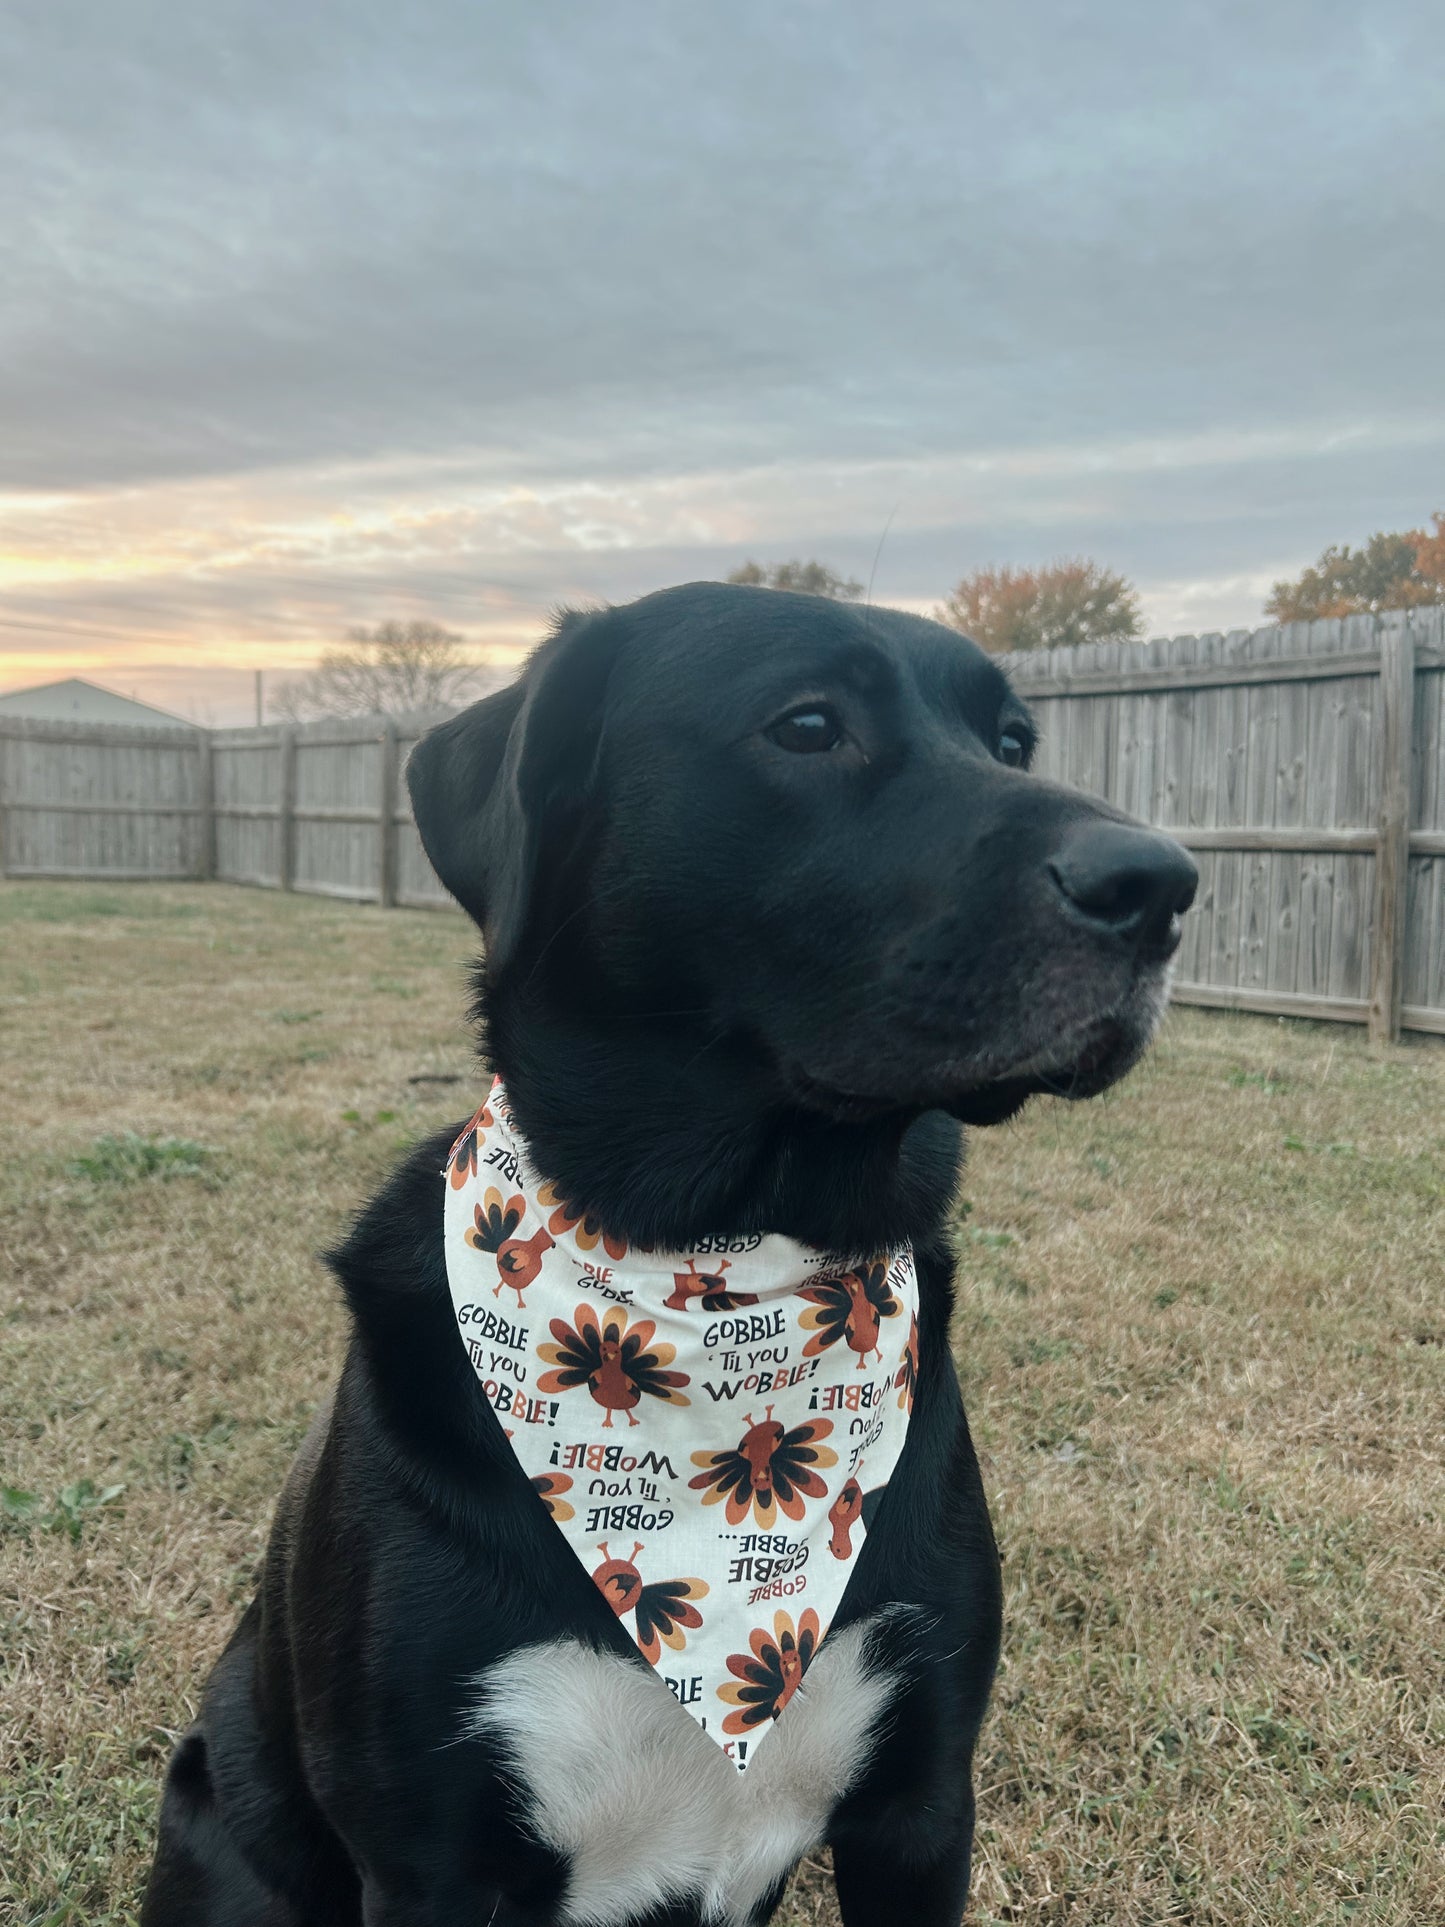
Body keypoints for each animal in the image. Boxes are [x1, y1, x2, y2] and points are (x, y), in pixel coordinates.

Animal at [144, 578, 1202, 1919]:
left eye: (1012, 741)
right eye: (806, 725)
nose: (1160, 884)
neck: (714, 1277)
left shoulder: (920, 1803)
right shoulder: (430, 1858)